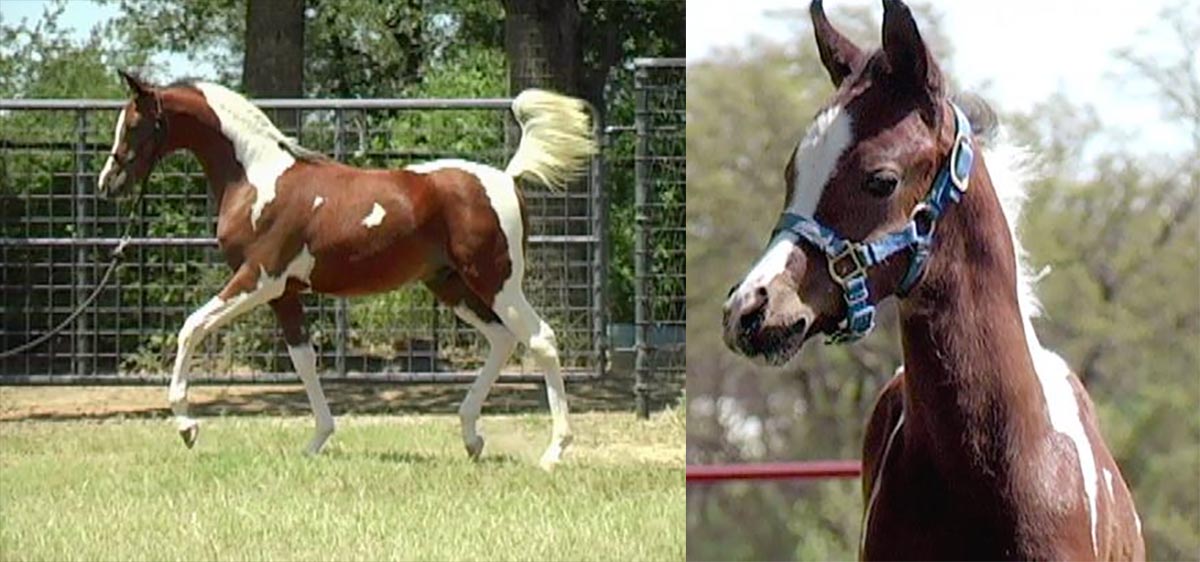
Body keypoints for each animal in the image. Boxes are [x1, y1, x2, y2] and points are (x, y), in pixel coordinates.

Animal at [98, 73, 595, 470]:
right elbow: (303, 359)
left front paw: (186, 424)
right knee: (503, 340)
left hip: (496, 282)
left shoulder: (258, 279)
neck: (256, 179)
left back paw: (553, 452)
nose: (108, 183)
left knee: (541, 339)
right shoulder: (285, 294)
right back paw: (472, 437)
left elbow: (191, 327)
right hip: (453, 286)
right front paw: (317, 440)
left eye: (135, 124)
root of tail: (507, 179)